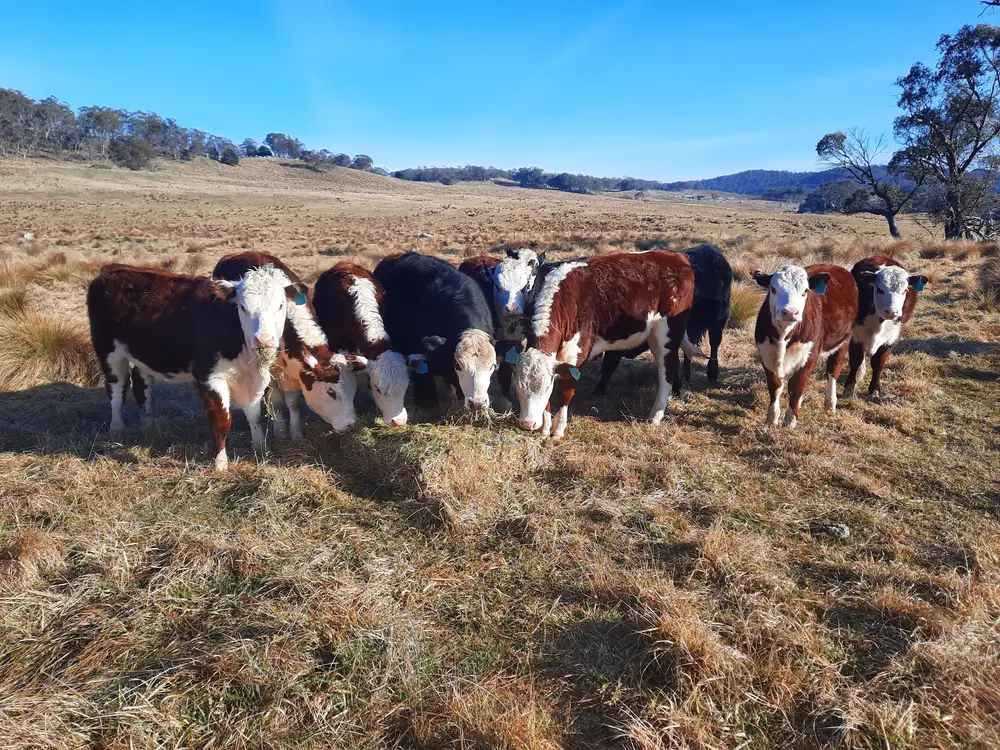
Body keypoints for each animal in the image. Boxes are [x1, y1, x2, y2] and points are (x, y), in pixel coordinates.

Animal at [88, 262, 303, 470]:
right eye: (243, 307)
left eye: (280, 305)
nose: (263, 339)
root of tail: (111, 269)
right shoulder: (210, 378)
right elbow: (222, 422)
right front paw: (220, 463)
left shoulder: (253, 378)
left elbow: (255, 416)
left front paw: (260, 450)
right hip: (109, 352)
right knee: (116, 391)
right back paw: (117, 430)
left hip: (146, 355)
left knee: (141, 387)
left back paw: (149, 429)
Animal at [212, 251, 367, 440]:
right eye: (331, 392)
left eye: (353, 389)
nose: (350, 424)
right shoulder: (271, 373)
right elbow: (277, 401)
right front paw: (280, 431)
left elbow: (293, 402)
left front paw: (295, 432)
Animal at [511, 251, 698, 439]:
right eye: (518, 388)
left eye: (545, 388)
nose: (527, 424)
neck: (567, 300)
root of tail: (675, 255)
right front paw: (545, 430)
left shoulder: (577, 354)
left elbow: (565, 391)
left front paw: (558, 430)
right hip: (653, 336)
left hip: (668, 333)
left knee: (668, 369)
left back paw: (656, 416)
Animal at [752, 263, 858, 428]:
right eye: (773, 289)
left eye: (805, 291)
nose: (790, 312)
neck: (783, 337)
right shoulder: (766, 353)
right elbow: (775, 385)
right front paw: (772, 418)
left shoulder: (809, 355)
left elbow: (796, 385)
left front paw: (790, 420)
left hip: (844, 340)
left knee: (833, 371)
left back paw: (830, 403)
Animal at [842, 255, 927, 400]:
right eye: (880, 289)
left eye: (905, 290)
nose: (892, 311)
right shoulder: (856, 334)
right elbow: (856, 359)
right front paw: (849, 389)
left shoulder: (892, 338)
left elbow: (878, 363)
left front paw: (875, 390)